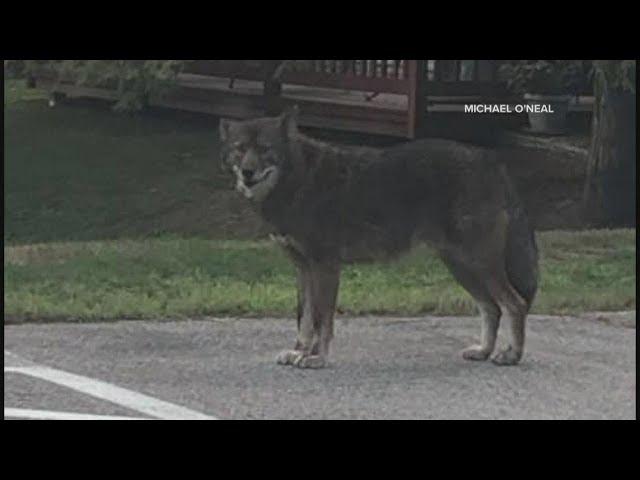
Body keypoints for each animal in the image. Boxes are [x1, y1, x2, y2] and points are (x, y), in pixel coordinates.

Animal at [218, 108, 536, 368]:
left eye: (265, 148)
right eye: (240, 149)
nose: (247, 173)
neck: (298, 179)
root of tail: (489, 161)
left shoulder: (325, 268)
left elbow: (321, 321)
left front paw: (316, 357)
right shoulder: (303, 270)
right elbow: (304, 319)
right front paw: (298, 352)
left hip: (478, 264)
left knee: (515, 304)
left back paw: (512, 355)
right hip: (461, 268)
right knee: (492, 308)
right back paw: (483, 351)